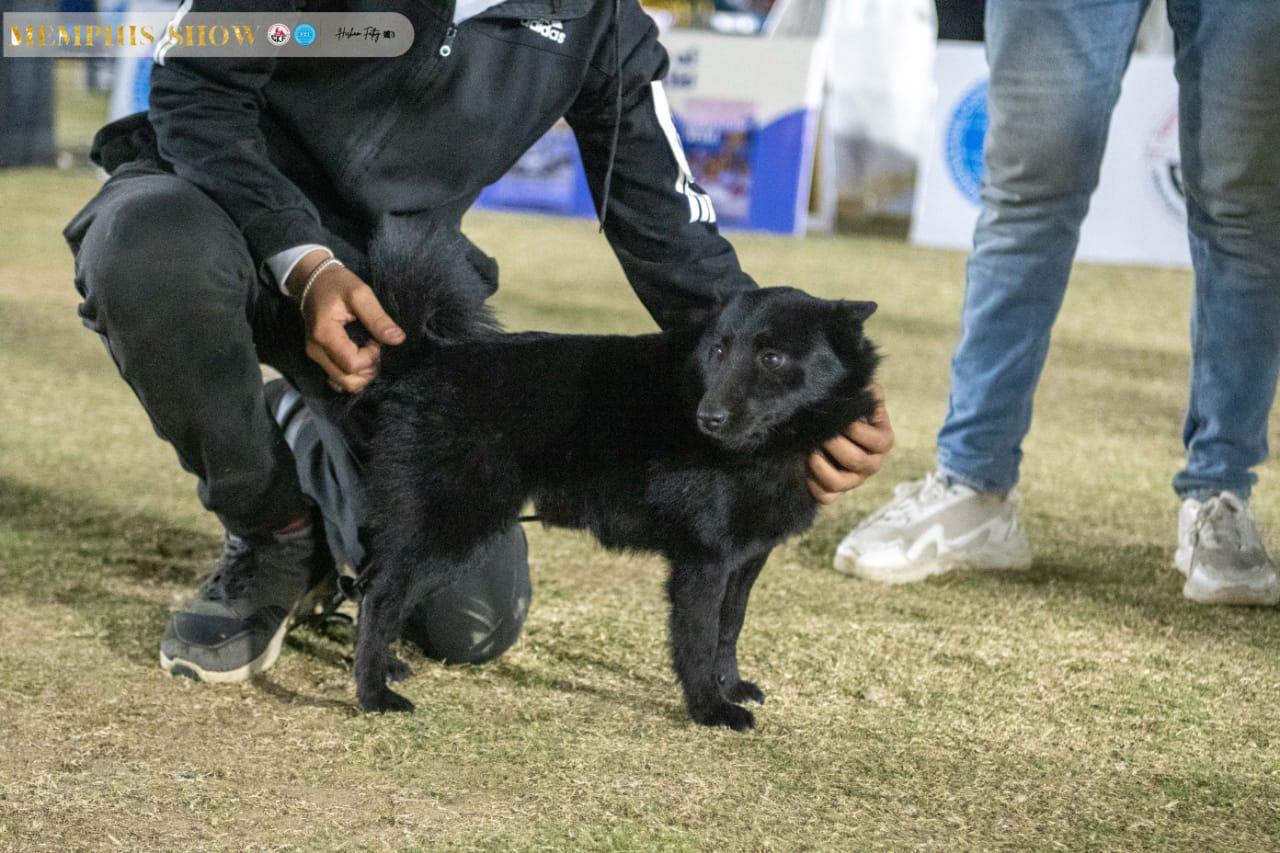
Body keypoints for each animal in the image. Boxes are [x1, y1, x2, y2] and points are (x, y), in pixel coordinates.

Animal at [350, 222, 879, 731]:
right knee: (381, 595)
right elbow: (699, 640)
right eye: (718, 350)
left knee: (378, 587)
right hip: (454, 523)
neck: (770, 446)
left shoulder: (746, 558)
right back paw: (373, 693)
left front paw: (730, 687)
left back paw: (385, 667)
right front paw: (709, 709)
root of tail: (425, 355)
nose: (706, 418)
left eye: (771, 357)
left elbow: (730, 627)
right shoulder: (703, 561)